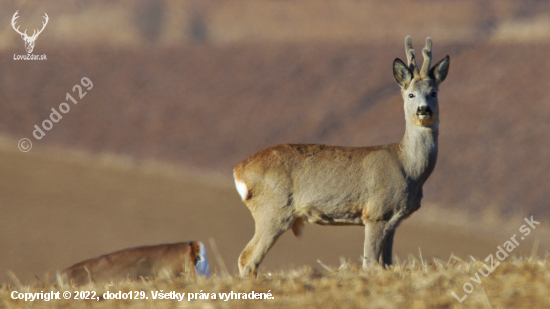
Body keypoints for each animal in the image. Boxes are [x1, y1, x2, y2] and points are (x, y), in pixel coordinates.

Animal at [235, 35, 450, 276]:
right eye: (411, 94)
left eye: (433, 92)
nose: (423, 109)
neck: (408, 169)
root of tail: (238, 170)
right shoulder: (376, 213)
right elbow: (370, 264)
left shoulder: (393, 221)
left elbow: (387, 264)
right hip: (273, 210)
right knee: (247, 258)